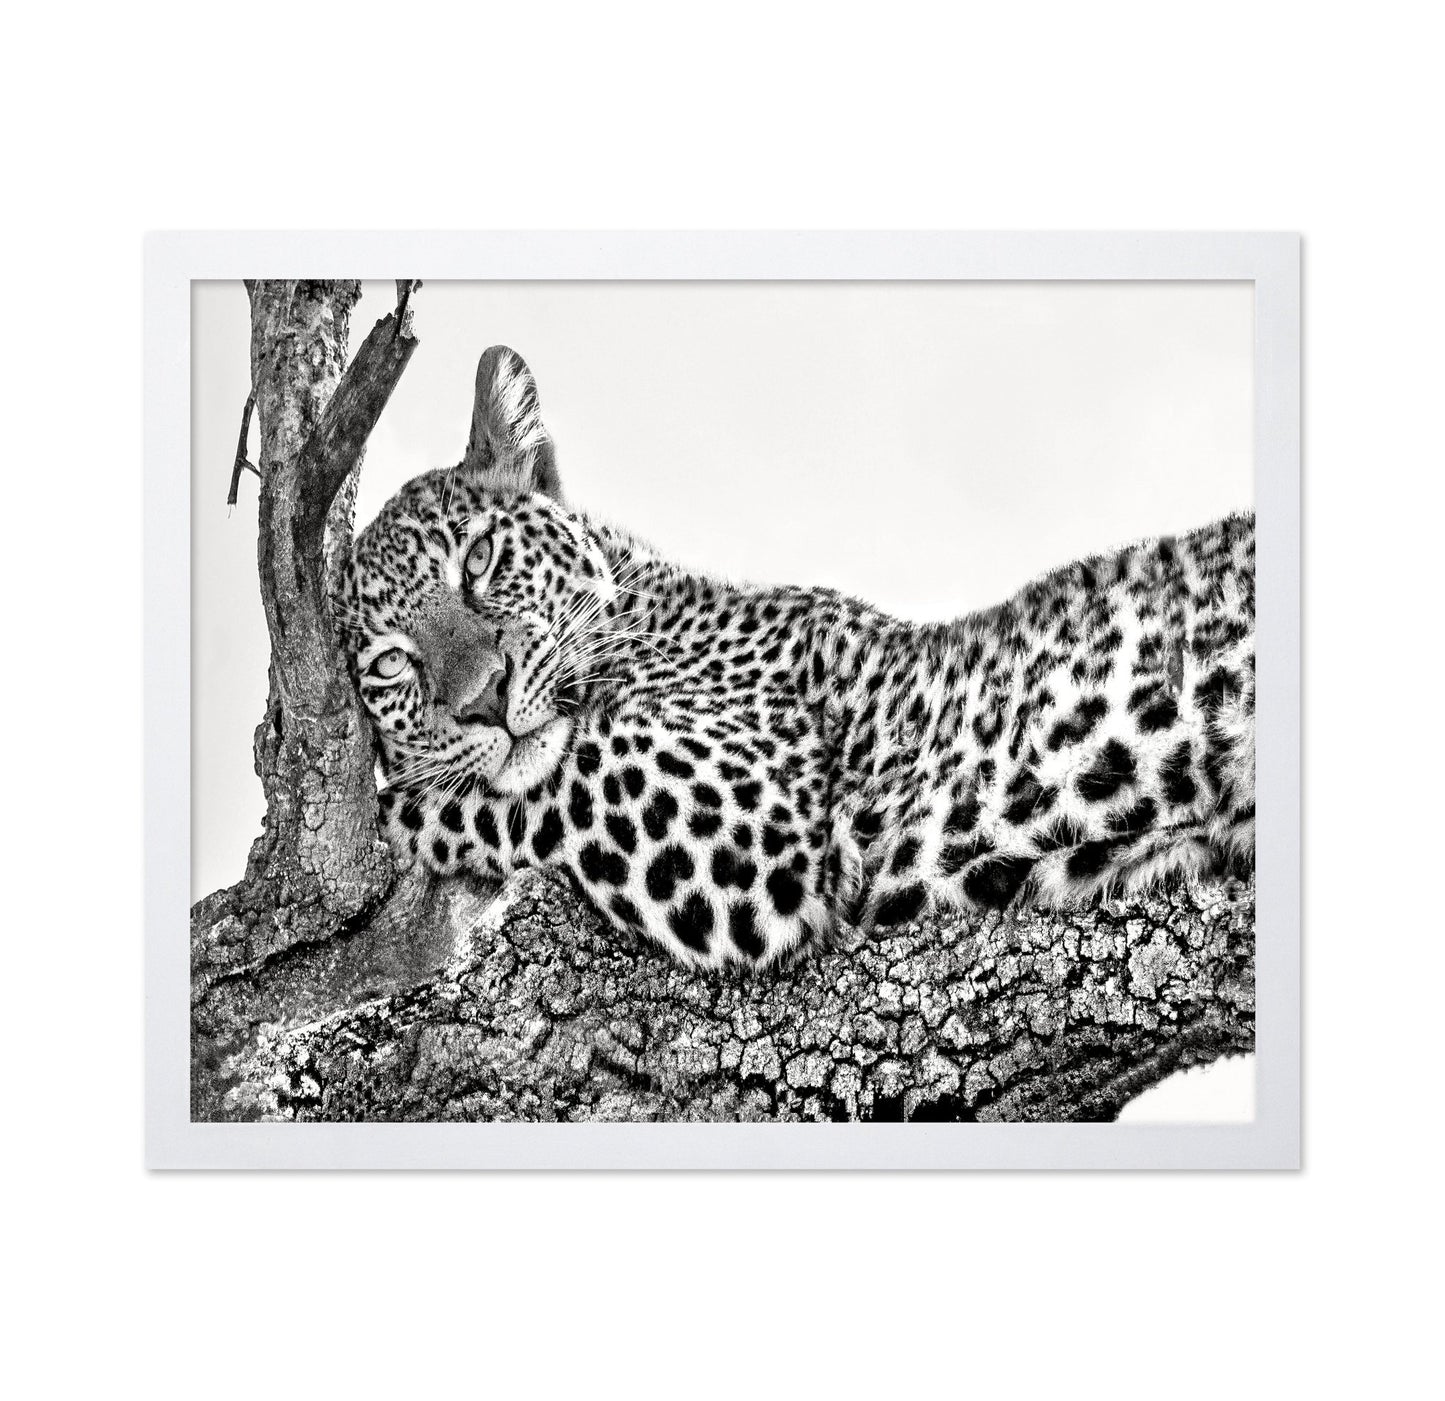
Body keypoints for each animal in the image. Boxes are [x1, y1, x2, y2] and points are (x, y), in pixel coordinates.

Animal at [342, 345, 1256, 970]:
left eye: (480, 559)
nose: (484, 699)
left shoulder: (745, 816)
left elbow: (519, 790)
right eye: (389, 664)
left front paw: (393, 808)